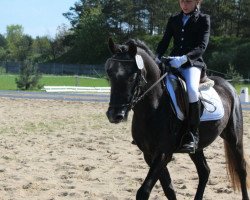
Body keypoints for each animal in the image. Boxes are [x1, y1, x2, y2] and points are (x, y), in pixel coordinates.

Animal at [104, 38, 249, 199]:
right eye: (109, 74)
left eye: (132, 76)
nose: (114, 115)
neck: (153, 107)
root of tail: (228, 86)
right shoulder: (149, 154)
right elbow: (168, 189)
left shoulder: (163, 153)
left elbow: (144, 191)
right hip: (197, 147)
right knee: (204, 171)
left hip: (234, 137)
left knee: (241, 169)